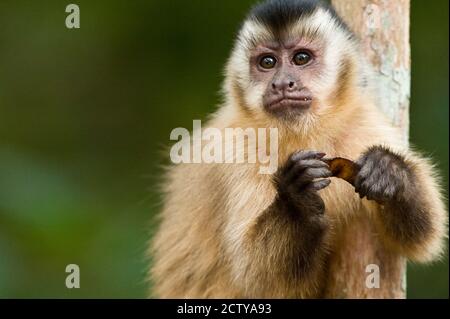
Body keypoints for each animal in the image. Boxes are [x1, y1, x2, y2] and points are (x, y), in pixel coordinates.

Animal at [149, 0, 446, 300]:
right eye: (267, 62)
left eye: (301, 58)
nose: (282, 83)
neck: (301, 133)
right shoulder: (233, 147)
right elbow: (258, 277)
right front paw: (298, 199)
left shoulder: (365, 124)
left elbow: (418, 237)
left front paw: (390, 171)